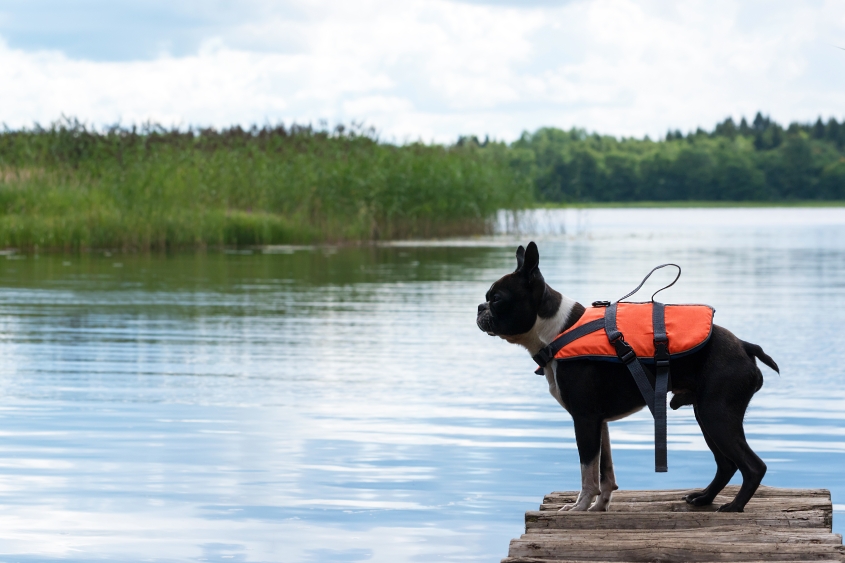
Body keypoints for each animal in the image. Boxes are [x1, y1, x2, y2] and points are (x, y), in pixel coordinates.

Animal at [474, 242, 780, 516]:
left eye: (497, 298)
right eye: (488, 297)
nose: (480, 306)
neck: (556, 331)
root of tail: (745, 345)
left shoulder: (584, 418)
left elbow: (588, 471)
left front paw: (579, 507)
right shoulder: (600, 423)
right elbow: (605, 471)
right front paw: (600, 506)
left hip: (716, 415)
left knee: (752, 466)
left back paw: (735, 506)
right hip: (707, 416)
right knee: (726, 464)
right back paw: (704, 498)